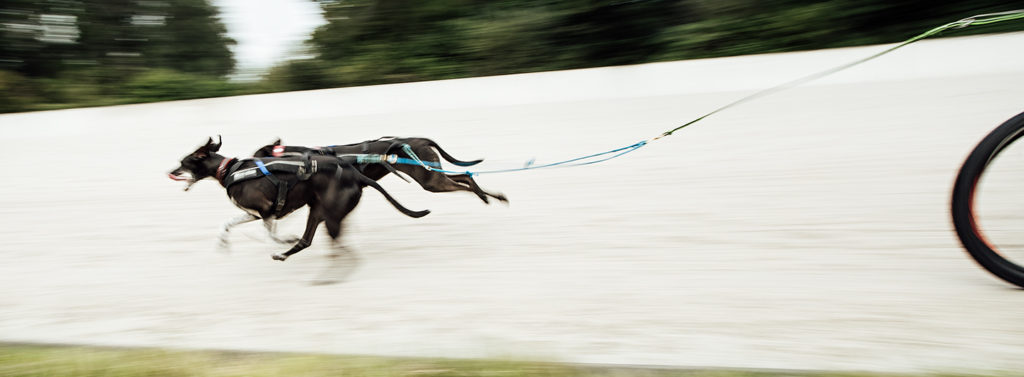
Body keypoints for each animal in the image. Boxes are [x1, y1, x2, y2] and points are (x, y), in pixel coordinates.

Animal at [167, 137, 428, 260]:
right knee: (307, 240)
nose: (171, 172)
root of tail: (356, 175)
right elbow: (227, 224)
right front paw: (223, 241)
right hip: (318, 210)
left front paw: (282, 240)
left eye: (183, 162)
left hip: (327, 212)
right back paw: (287, 254)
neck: (229, 170)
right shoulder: (254, 214)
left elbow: (270, 235)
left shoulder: (266, 211)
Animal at [251, 137, 507, 204]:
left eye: (254, 156)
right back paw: (492, 196)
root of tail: (420, 140)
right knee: (466, 176)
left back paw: (485, 196)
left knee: (465, 181)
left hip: (431, 180)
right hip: (433, 176)